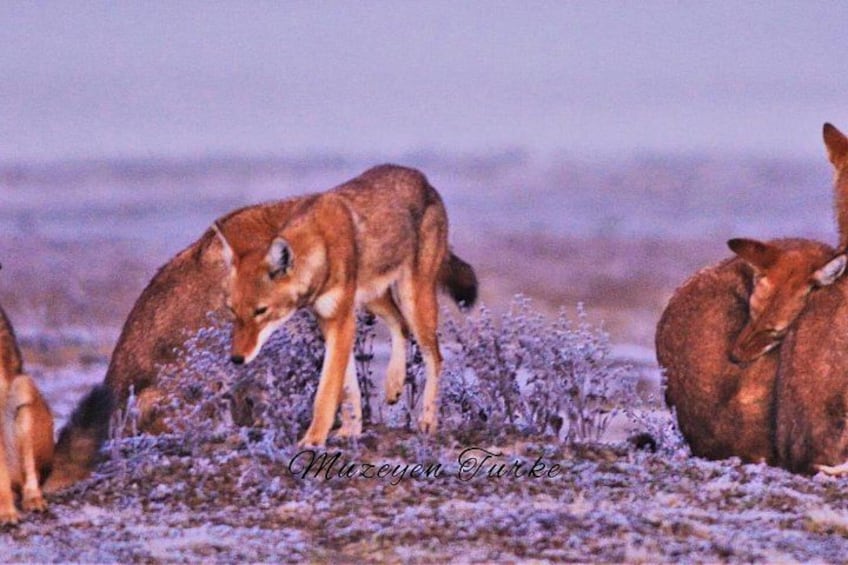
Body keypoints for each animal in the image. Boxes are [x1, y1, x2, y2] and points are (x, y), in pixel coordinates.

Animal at [213, 164, 478, 447]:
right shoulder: (331, 322)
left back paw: (428, 420)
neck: (321, 249)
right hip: (373, 299)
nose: (236, 358)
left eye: (261, 311)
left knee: (434, 356)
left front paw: (313, 439)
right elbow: (348, 388)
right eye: (232, 311)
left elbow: (326, 392)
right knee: (400, 325)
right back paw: (394, 384)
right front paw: (350, 430)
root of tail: (424, 179)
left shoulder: (342, 322)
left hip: (414, 300)